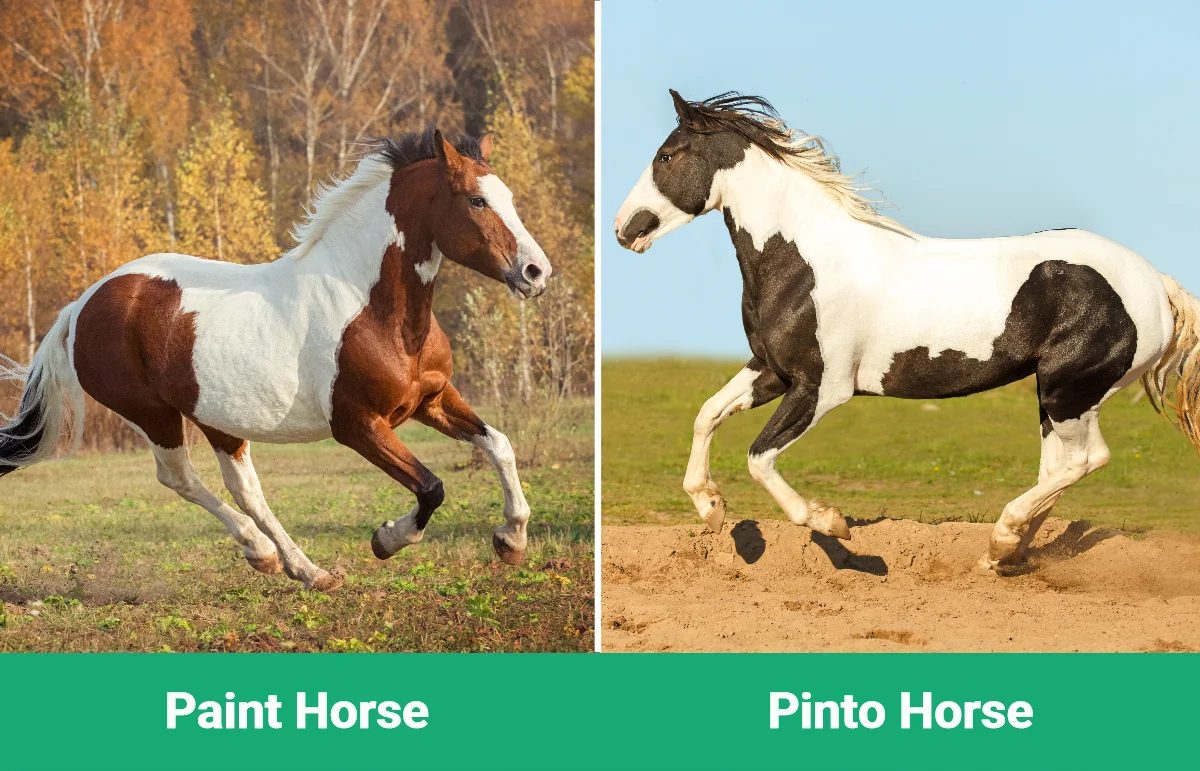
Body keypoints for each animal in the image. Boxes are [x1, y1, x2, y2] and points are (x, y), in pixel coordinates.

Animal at [0, 128, 552, 591]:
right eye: (477, 200)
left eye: (509, 197)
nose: (536, 272)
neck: (372, 308)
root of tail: (82, 305)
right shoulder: (359, 426)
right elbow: (432, 487)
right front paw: (386, 540)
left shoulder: (430, 401)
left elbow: (498, 444)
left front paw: (511, 541)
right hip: (153, 413)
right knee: (180, 478)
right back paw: (275, 557)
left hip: (217, 419)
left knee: (244, 488)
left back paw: (297, 567)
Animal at [614, 90, 1200, 572]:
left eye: (666, 156)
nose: (624, 229)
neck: (806, 264)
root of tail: (1156, 283)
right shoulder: (772, 372)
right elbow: (706, 415)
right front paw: (711, 508)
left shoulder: (823, 388)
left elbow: (759, 458)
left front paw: (832, 522)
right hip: (1061, 394)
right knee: (1061, 467)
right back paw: (1005, 553)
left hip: (1068, 388)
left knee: (1083, 461)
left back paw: (1002, 539)